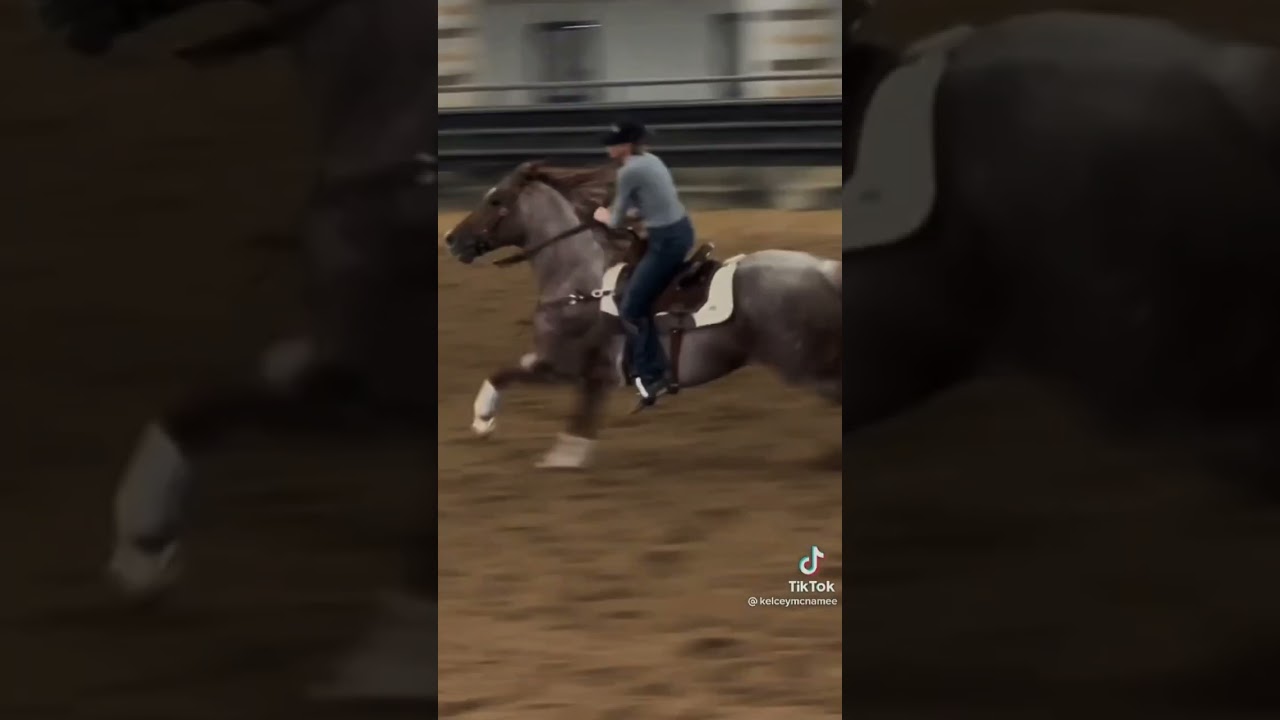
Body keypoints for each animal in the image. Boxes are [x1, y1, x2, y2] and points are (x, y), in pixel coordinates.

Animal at [442, 161, 842, 468]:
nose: (451, 239)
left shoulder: (574, 368)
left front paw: (492, 423)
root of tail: (823, 269)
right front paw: (486, 423)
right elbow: (510, 375)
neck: (580, 284)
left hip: (805, 366)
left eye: (496, 200)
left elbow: (562, 411)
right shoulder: (562, 364)